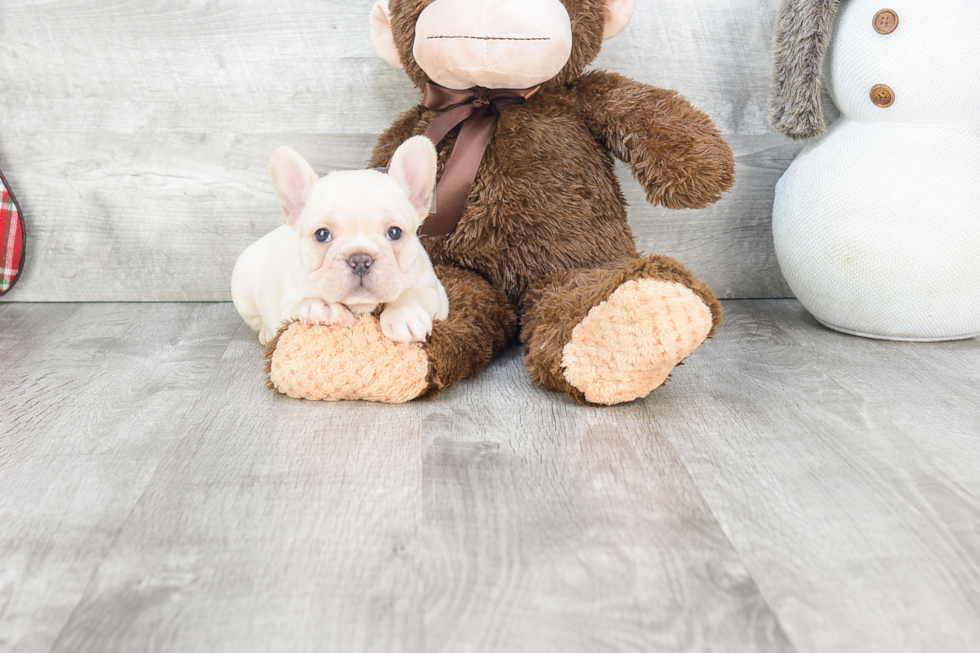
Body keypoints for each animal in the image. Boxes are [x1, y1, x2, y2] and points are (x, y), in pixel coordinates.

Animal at [234, 136, 452, 344]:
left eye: (394, 233)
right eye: (322, 234)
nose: (361, 260)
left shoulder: (434, 290)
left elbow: (411, 295)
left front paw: (404, 315)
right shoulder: (287, 306)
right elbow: (300, 305)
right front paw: (322, 308)